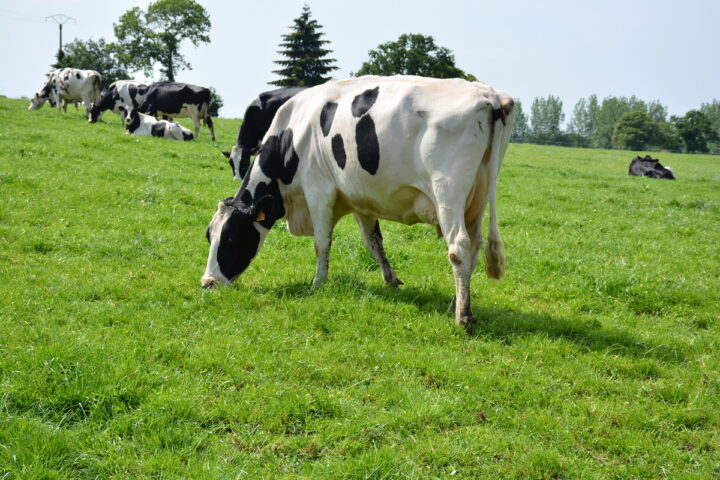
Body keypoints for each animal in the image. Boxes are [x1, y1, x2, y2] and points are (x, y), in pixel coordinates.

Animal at [201, 75, 515, 332]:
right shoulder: (361, 201)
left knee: (458, 246)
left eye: (231, 238)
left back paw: (463, 316)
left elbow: (322, 243)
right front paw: (391, 280)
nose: (208, 283)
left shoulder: (318, 190)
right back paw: (455, 302)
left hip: (448, 193)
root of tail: (489, 95)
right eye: (209, 236)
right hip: (477, 198)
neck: (293, 135)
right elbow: (374, 243)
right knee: (473, 247)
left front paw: (317, 283)